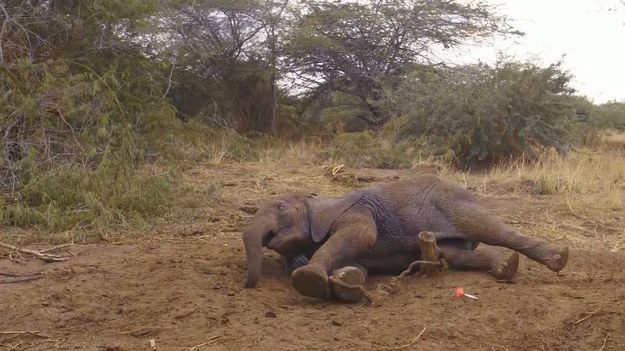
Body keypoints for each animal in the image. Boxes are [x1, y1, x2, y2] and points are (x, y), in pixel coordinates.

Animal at [241, 176, 568, 302]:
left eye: (280, 208)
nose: (247, 285)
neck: (319, 201)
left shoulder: (358, 214)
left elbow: (361, 236)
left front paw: (308, 278)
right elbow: (358, 265)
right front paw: (346, 283)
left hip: (456, 204)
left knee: (491, 229)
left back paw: (558, 258)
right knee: (457, 255)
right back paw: (505, 267)